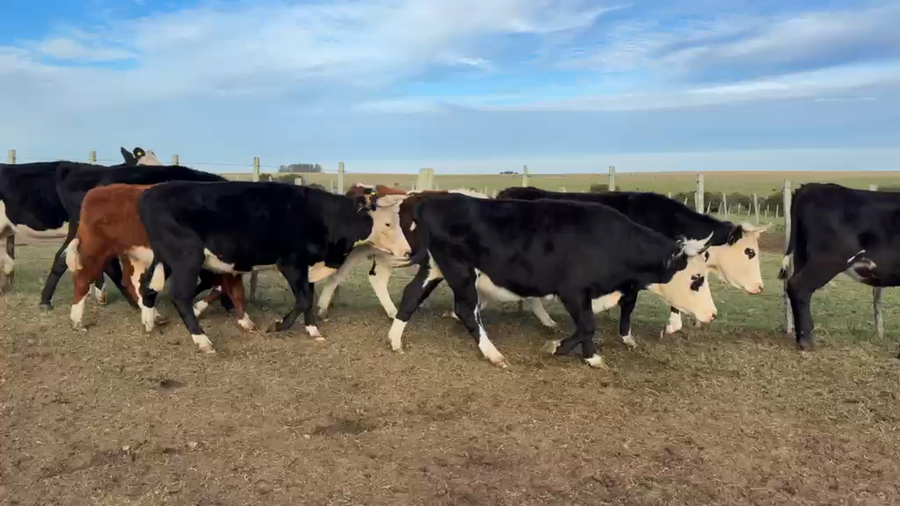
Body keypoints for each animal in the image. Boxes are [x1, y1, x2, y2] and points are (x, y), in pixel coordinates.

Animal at [63, 183, 249, 333]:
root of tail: (96, 191)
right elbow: (218, 285)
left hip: (131, 254)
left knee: (131, 282)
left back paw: (154, 316)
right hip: (95, 249)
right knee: (82, 278)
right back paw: (77, 321)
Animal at [135, 181, 411, 353]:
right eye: (387, 223)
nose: (408, 251)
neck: (325, 217)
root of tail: (150, 193)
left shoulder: (307, 268)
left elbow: (308, 300)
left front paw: (313, 331)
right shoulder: (292, 264)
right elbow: (303, 300)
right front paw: (278, 325)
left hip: (165, 258)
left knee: (147, 284)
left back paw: (149, 321)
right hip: (186, 258)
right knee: (180, 296)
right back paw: (202, 340)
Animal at [387, 193, 717, 368]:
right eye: (696, 278)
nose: (712, 314)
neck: (610, 241)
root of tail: (433, 199)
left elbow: (587, 326)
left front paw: (590, 357)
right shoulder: (573, 291)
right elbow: (587, 326)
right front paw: (558, 348)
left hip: (435, 267)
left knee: (411, 295)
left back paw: (395, 340)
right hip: (460, 271)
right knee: (466, 310)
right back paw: (494, 354)